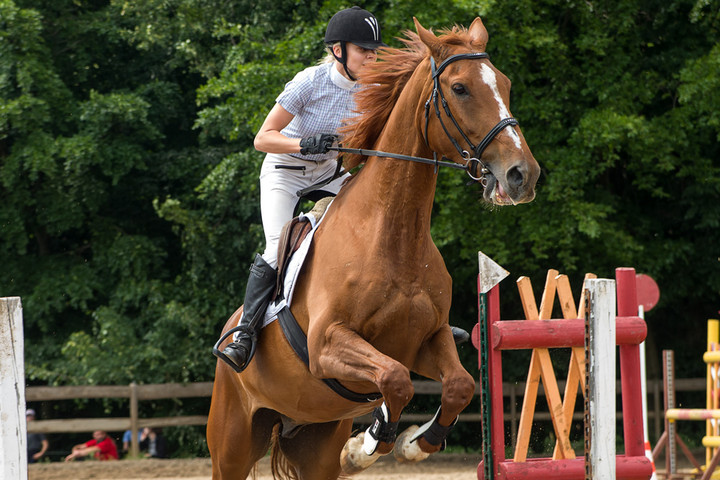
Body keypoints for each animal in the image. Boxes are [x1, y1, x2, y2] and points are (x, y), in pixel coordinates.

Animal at [208, 16, 540, 478]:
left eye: (505, 85)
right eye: (459, 88)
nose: (522, 175)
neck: (392, 237)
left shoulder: (427, 339)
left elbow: (457, 384)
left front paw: (414, 442)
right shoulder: (328, 345)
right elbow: (395, 379)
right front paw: (368, 442)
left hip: (315, 442)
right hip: (233, 444)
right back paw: (240, 347)